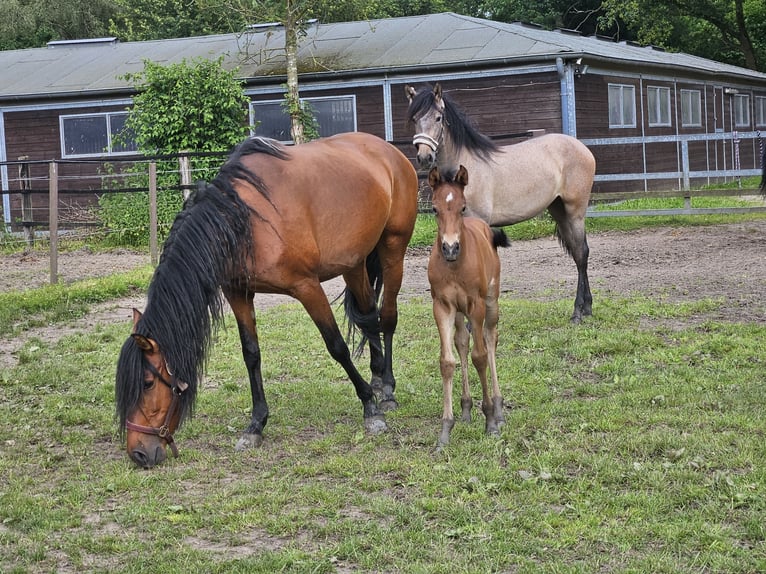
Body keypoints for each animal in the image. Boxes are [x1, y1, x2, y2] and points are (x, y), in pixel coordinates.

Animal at [115, 133, 420, 470]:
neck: (245, 221)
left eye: (147, 383)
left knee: (387, 316)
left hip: (393, 249)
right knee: (368, 315)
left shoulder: (307, 287)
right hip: (354, 264)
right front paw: (255, 425)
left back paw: (387, 391)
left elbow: (337, 346)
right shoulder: (238, 293)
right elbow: (251, 355)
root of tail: (388, 151)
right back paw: (377, 378)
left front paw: (369, 407)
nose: (138, 453)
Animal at [404, 82, 596, 324]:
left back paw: (579, 312)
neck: (465, 167)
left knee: (581, 254)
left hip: (575, 211)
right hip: (559, 210)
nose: (424, 157)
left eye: (438, 117)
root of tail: (582, 148)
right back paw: (586, 308)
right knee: (577, 253)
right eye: (414, 118)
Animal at [428, 164, 512, 448]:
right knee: (462, 342)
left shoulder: (476, 305)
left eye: (462, 207)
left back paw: (497, 408)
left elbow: (481, 356)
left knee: (490, 338)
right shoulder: (442, 306)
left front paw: (490, 421)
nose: (450, 248)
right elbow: (447, 361)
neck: (455, 267)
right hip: (459, 311)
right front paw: (445, 429)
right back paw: (465, 408)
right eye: (434, 209)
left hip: (491, 302)